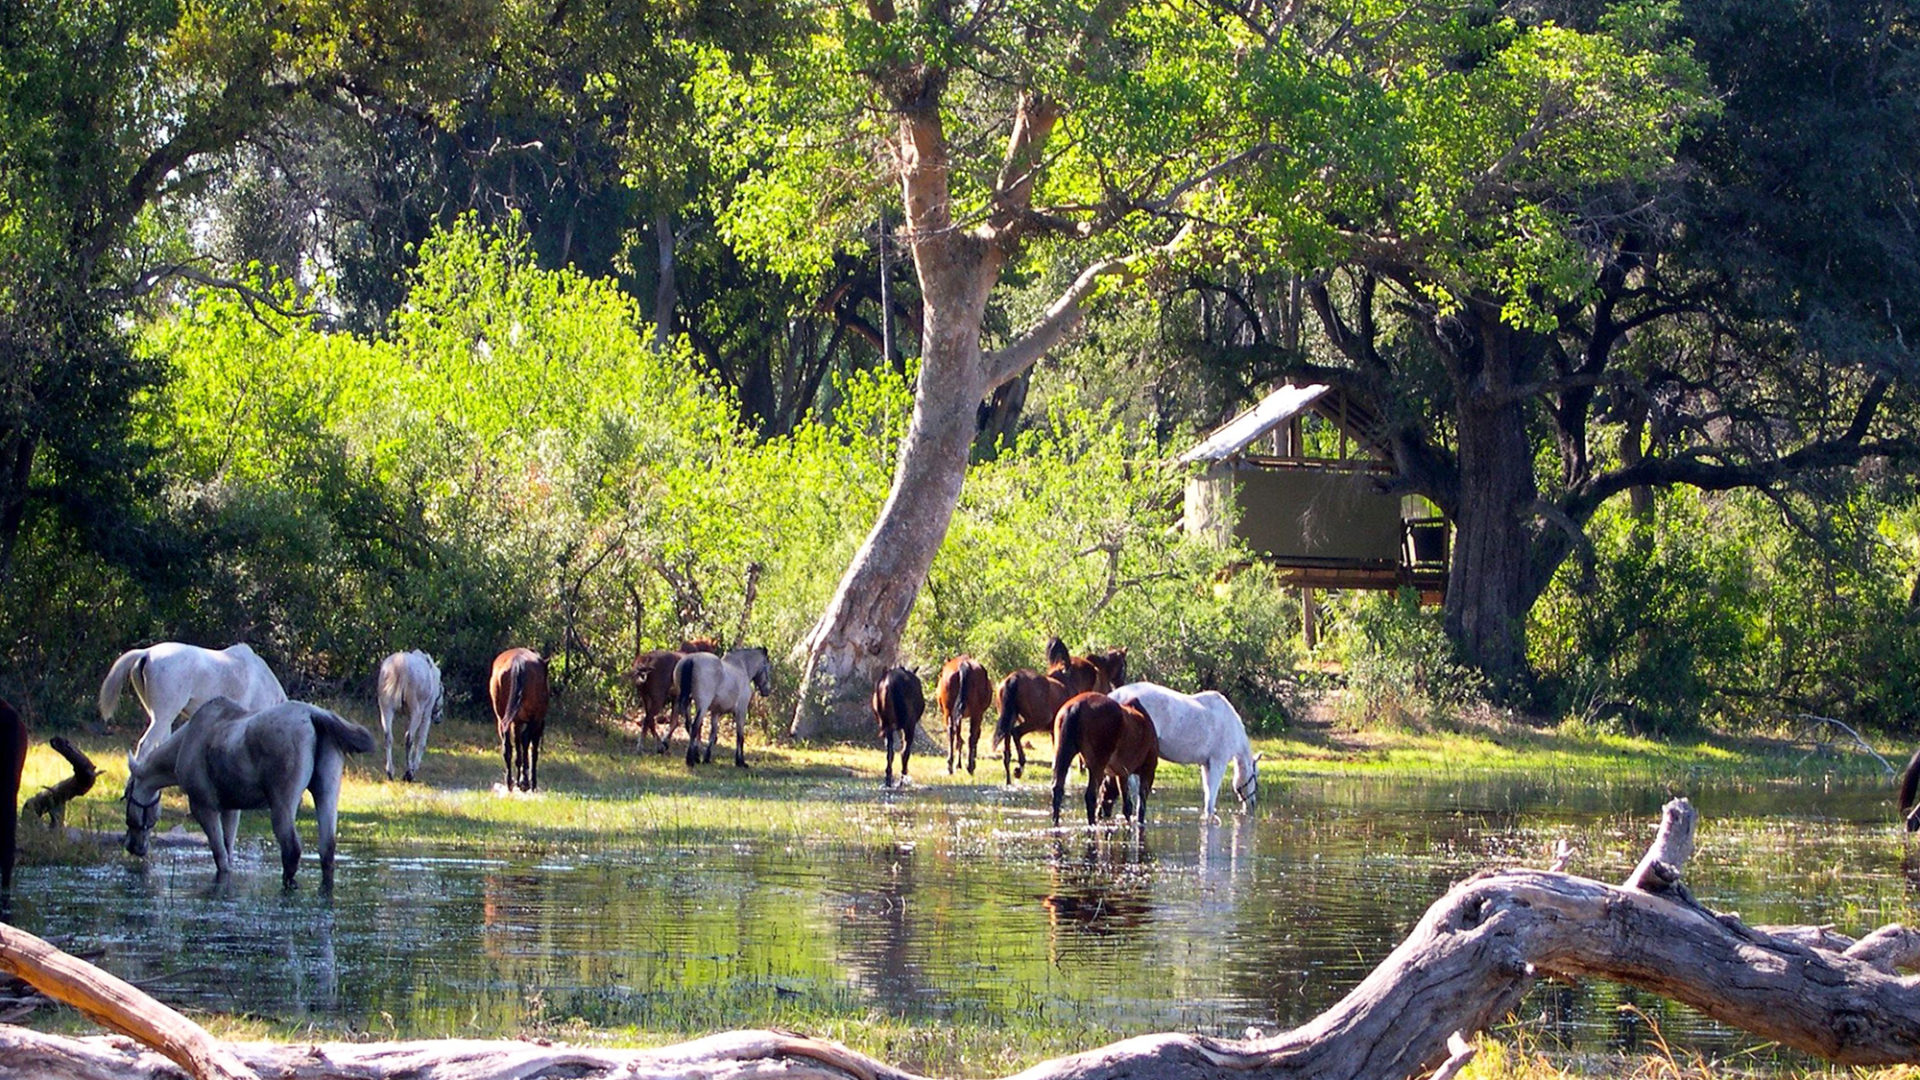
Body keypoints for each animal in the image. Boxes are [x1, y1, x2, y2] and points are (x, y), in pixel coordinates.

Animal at [122, 697, 373, 888]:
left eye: (126, 796)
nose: (133, 846)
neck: (179, 751)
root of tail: (315, 716)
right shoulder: (231, 808)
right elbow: (229, 850)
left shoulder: (203, 805)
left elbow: (221, 857)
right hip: (327, 792)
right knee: (327, 850)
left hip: (283, 800)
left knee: (291, 850)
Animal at [376, 650, 443, 782]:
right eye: (442, 691)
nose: (439, 717)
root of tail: (401, 667)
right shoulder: (426, 714)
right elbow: (421, 742)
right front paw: (413, 769)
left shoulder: (407, 716)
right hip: (416, 710)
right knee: (409, 739)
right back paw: (409, 774)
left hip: (386, 707)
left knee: (388, 737)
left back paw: (390, 772)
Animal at [490, 649, 550, 792]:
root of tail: (518, 662)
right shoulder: (537, 722)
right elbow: (532, 749)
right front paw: (530, 782)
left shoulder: (516, 722)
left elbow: (518, 749)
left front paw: (518, 780)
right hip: (535, 720)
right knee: (526, 741)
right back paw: (525, 782)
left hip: (502, 719)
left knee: (507, 747)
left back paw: (510, 782)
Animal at [1050, 692, 1159, 827]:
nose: (1102, 813)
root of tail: (1076, 706)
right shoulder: (1148, 770)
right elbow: (1140, 805)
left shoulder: (1121, 773)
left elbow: (1127, 805)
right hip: (1097, 765)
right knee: (1090, 795)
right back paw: (1092, 823)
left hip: (1063, 755)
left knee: (1057, 789)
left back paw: (1056, 822)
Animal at [1110, 681, 1260, 821]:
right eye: (1255, 775)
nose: (1253, 804)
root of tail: (1117, 696)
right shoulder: (1218, 763)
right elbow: (1211, 796)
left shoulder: (1206, 765)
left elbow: (1208, 795)